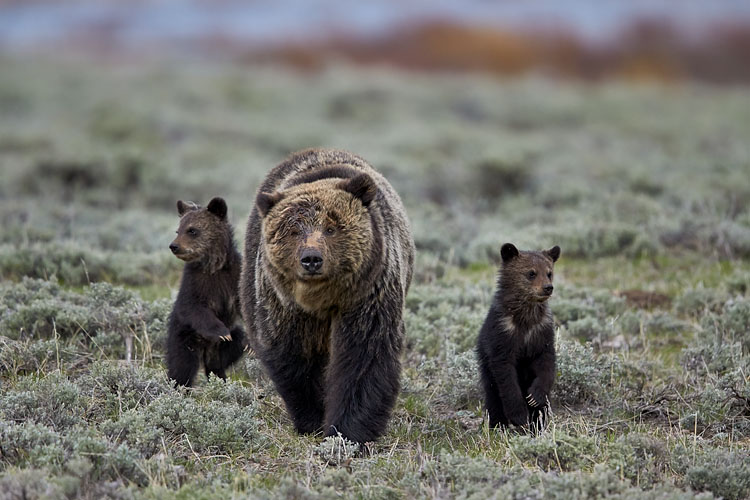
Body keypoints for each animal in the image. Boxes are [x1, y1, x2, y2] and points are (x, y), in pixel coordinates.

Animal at [166, 196, 246, 387]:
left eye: (192, 230)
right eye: (178, 230)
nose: (174, 246)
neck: (214, 266)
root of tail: (206, 352)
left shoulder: (233, 277)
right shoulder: (195, 282)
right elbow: (192, 307)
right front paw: (221, 333)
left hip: (221, 350)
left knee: (230, 350)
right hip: (185, 338)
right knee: (182, 366)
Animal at [239, 148, 415, 443]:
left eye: (332, 228)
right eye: (293, 230)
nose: (311, 259)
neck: (323, 298)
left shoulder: (368, 295)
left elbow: (364, 358)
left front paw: (349, 430)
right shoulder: (286, 306)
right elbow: (294, 357)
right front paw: (312, 418)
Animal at [476, 242, 561, 430]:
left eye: (549, 272)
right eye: (531, 273)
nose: (548, 287)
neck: (526, 319)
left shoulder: (541, 331)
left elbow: (546, 363)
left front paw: (534, 397)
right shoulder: (503, 334)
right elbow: (505, 373)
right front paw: (519, 415)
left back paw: (538, 426)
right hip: (485, 366)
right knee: (492, 395)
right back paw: (498, 425)